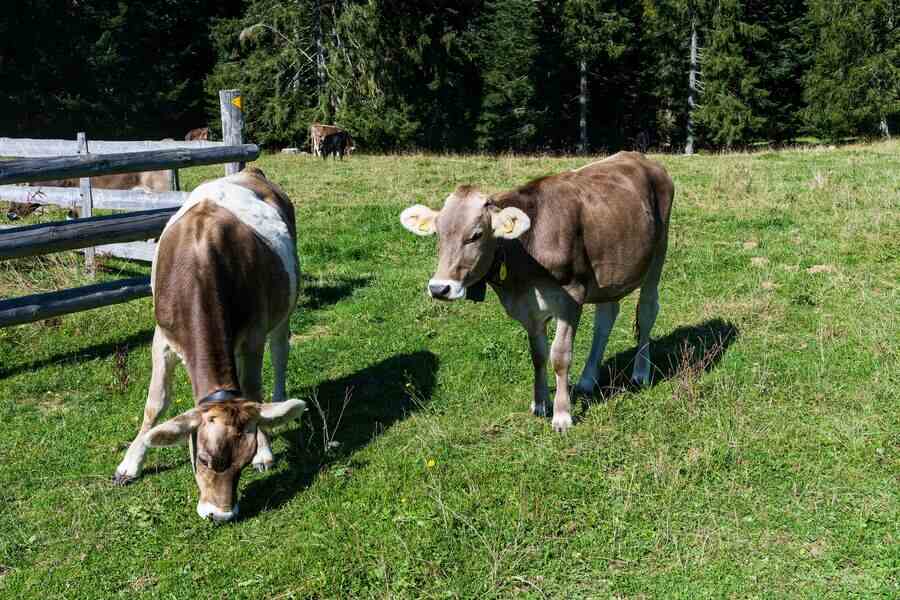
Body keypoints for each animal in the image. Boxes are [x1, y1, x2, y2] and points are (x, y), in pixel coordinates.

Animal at [113, 167, 306, 522]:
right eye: (202, 458)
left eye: (244, 460)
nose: (220, 514)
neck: (201, 265)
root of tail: (251, 171)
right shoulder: (162, 337)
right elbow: (155, 403)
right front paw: (130, 462)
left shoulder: (253, 335)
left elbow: (254, 392)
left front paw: (266, 449)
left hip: (285, 304)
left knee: (280, 352)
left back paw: (280, 400)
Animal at [400, 152, 674, 433]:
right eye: (438, 234)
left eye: (475, 235)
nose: (439, 288)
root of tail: (639, 157)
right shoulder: (527, 308)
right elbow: (538, 356)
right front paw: (540, 403)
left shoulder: (571, 298)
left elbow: (560, 356)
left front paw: (562, 415)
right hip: (608, 271)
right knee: (606, 317)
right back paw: (588, 379)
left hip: (658, 253)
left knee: (647, 310)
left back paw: (641, 373)